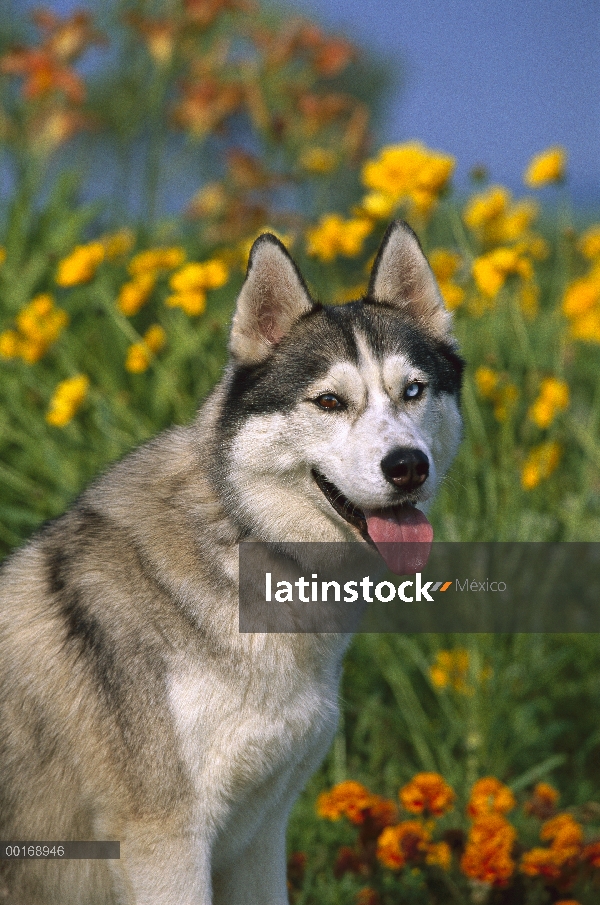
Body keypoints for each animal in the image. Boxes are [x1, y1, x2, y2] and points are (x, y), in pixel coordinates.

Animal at [0, 221, 464, 904]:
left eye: (413, 391)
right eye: (329, 402)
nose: (407, 465)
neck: (246, 541)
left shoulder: (259, 836)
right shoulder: (168, 845)